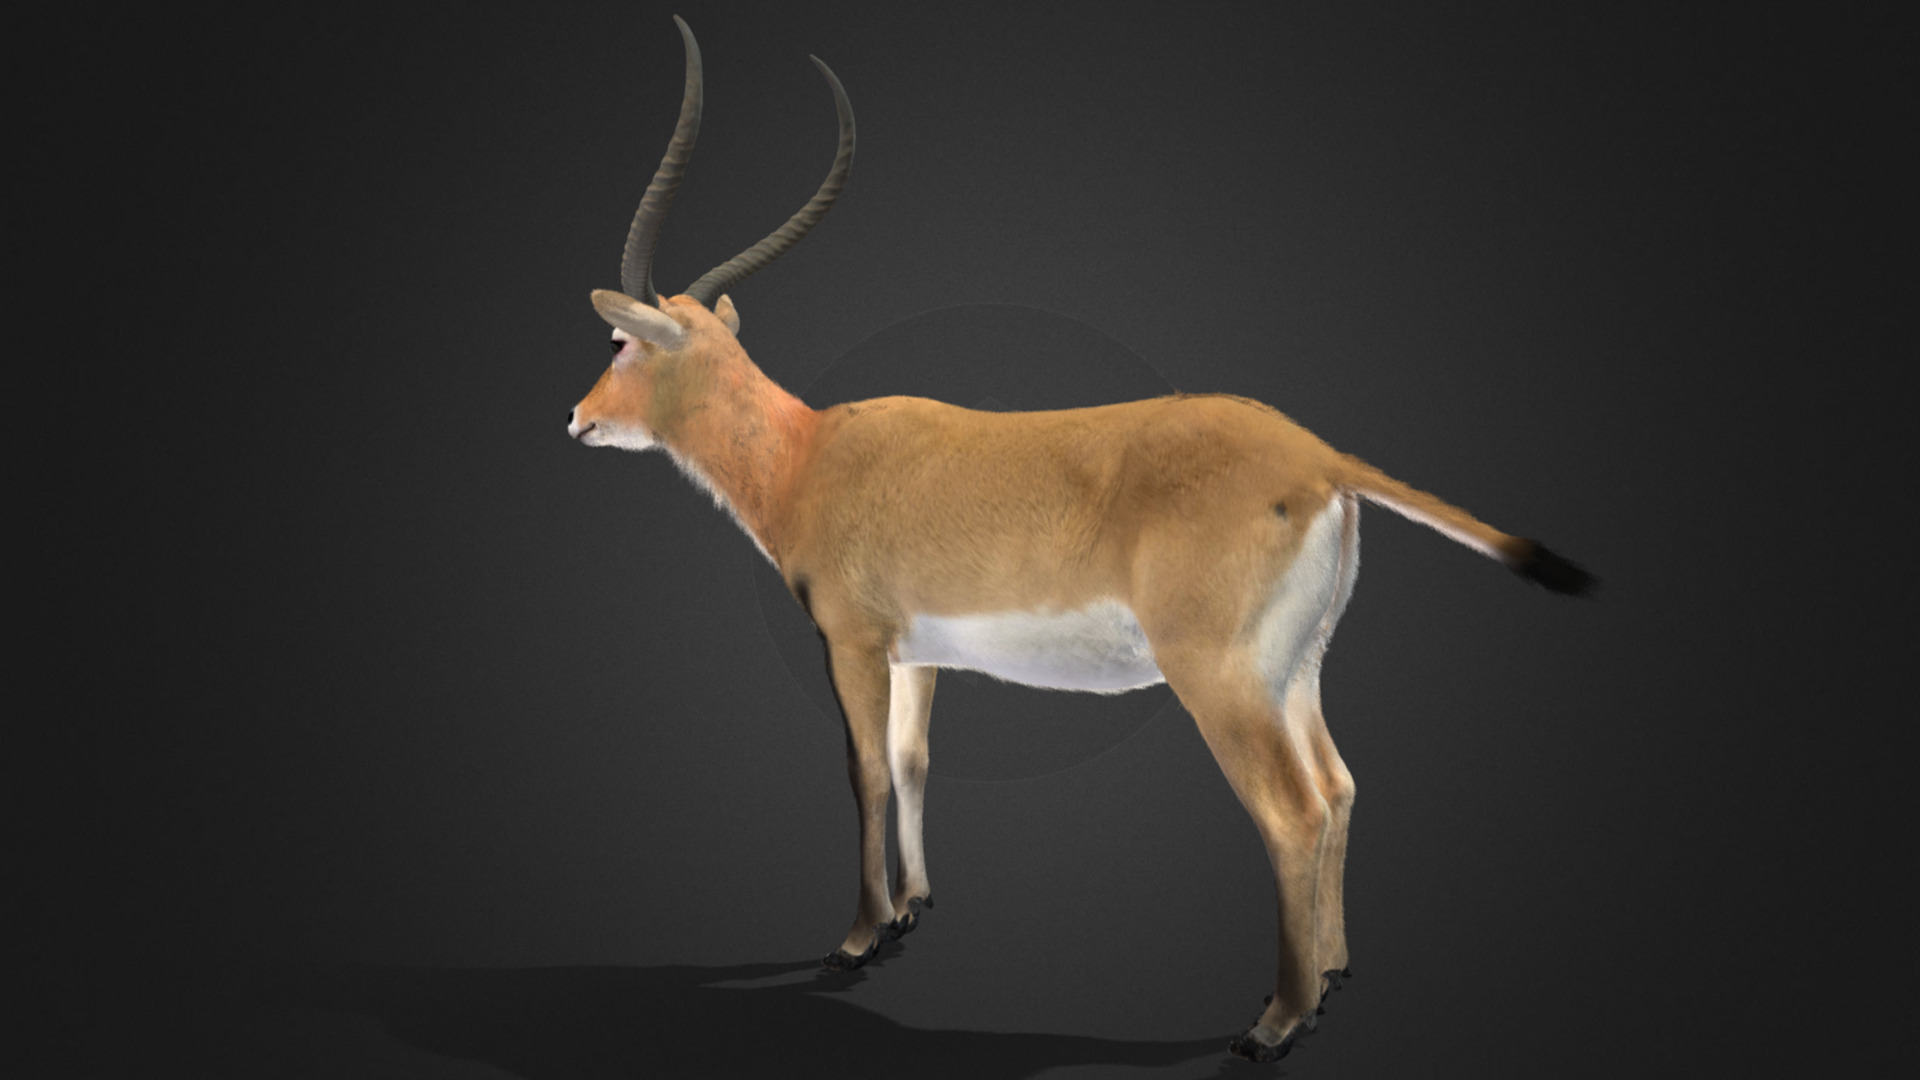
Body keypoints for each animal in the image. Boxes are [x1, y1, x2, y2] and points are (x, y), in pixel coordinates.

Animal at [565, 17, 1595, 1065]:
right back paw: (1332, 977)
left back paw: (1273, 1023)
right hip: (1296, 669)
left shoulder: (850, 642)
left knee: (1293, 811)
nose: (577, 419)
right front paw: (911, 908)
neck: (811, 453)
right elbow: (913, 760)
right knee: (1339, 785)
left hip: (1219, 679)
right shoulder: (916, 653)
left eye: (618, 344)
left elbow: (864, 771)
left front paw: (855, 939)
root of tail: (1317, 459)